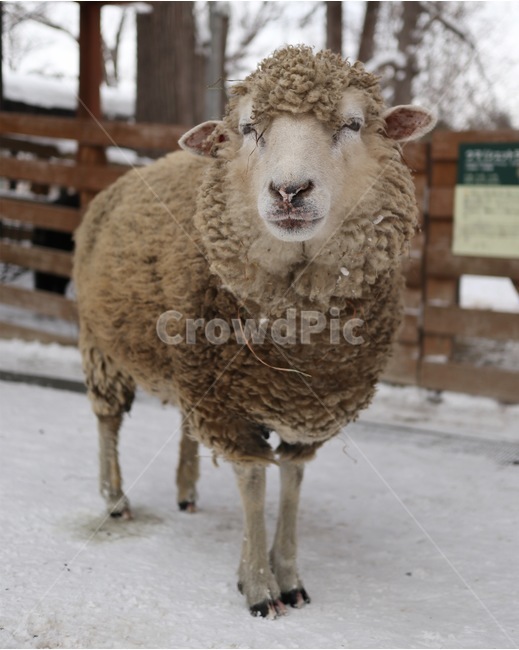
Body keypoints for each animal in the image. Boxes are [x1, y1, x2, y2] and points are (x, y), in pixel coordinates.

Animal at [73, 45, 435, 618]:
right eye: (248, 129)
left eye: (353, 124)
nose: (290, 191)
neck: (296, 338)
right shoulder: (228, 403)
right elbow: (253, 479)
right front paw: (259, 586)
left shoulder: (306, 405)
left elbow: (291, 478)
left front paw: (288, 575)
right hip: (100, 343)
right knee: (107, 421)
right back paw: (114, 499)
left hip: (189, 367)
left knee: (182, 425)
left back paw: (187, 491)